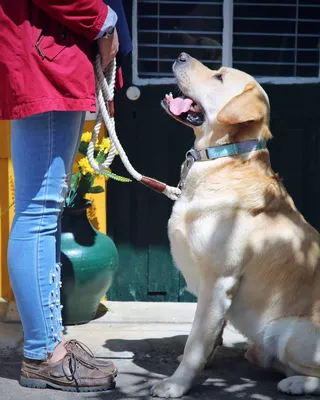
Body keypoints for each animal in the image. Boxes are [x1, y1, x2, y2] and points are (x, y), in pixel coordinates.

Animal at [150, 52, 320, 396]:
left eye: (219, 77)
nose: (181, 55)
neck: (222, 156)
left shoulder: (218, 281)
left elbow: (195, 341)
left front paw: (177, 384)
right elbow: (209, 335)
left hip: (287, 331)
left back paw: (296, 382)